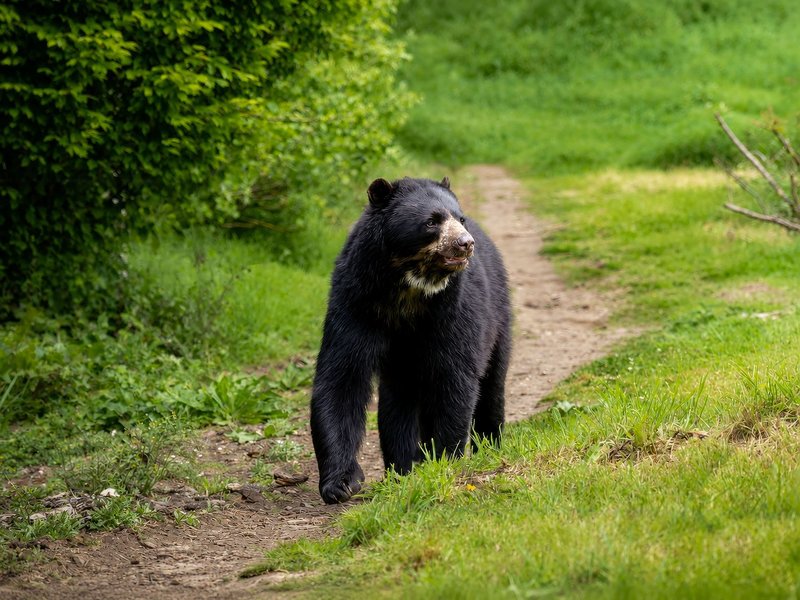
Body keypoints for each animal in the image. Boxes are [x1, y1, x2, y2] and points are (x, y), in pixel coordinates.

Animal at [310, 176, 512, 504]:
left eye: (460, 218)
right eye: (431, 221)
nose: (465, 243)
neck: (409, 289)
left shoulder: (456, 310)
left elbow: (456, 377)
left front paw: (445, 460)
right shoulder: (356, 302)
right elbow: (342, 377)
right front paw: (340, 484)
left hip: (499, 317)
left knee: (492, 384)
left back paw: (489, 446)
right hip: (402, 366)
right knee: (397, 404)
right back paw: (401, 468)